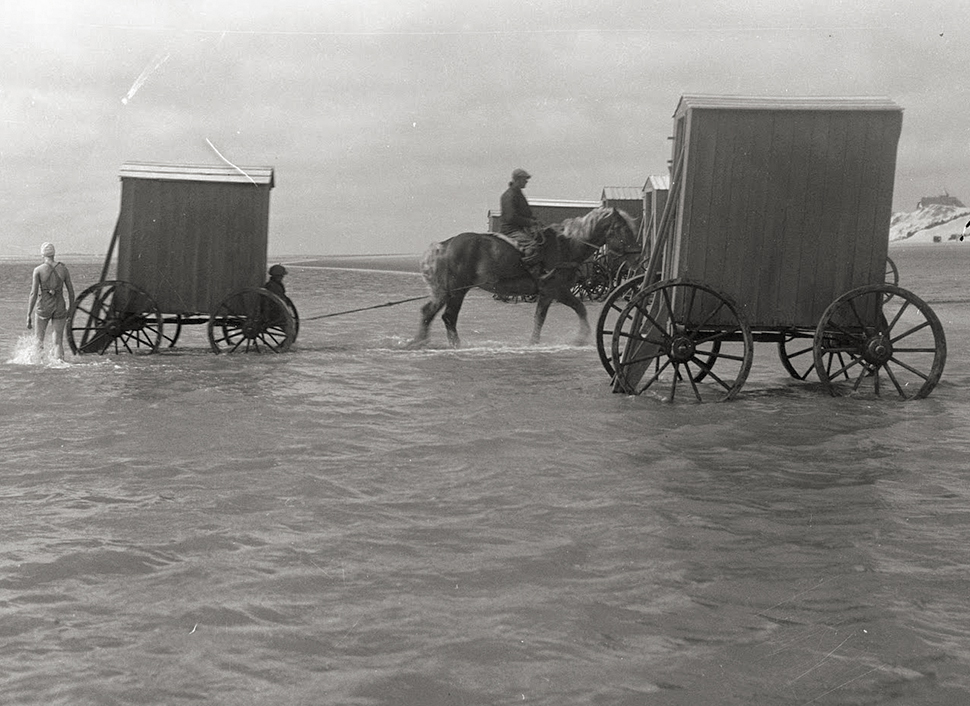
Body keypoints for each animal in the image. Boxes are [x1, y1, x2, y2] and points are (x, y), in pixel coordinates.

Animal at [406, 204, 640, 346]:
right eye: (623, 229)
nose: (637, 257)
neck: (565, 246)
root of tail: (445, 244)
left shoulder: (547, 293)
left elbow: (540, 318)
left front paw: (534, 343)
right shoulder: (555, 289)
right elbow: (579, 308)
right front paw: (581, 338)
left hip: (447, 291)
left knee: (428, 312)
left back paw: (420, 341)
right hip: (457, 291)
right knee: (448, 317)